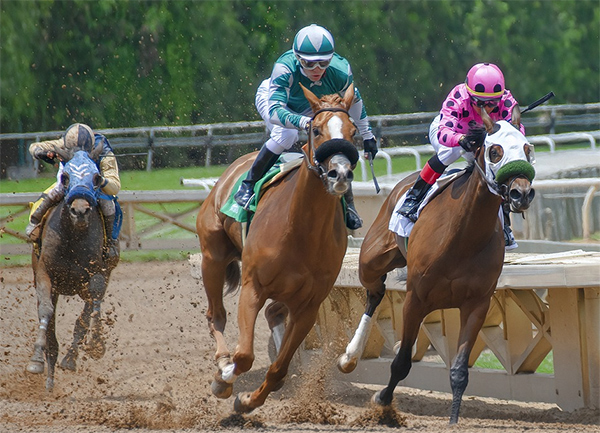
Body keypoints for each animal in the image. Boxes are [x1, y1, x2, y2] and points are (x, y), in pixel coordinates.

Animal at [26, 141, 118, 388]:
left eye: (96, 177)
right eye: (65, 177)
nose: (80, 210)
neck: (72, 239)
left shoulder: (97, 274)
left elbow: (90, 309)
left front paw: (94, 344)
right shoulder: (44, 273)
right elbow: (46, 311)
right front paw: (36, 360)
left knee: (87, 312)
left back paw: (74, 355)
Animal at [195, 82, 358, 412]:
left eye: (353, 131)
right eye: (316, 130)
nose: (340, 174)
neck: (301, 230)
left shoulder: (309, 304)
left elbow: (279, 367)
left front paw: (248, 401)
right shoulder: (253, 287)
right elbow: (244, 355)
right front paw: (226, 378)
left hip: (286, 291)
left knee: (273, 314)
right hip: (212, 257)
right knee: (216, 314)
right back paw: (222, 365)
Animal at [338, 115, 540, 422]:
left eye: (528, 149)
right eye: (495, 151)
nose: (522, 193)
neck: (463, 236)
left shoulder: (476, 304)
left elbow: (459, 371)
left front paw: (454, 420)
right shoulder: (416, 299)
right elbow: (401, 363)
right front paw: (382, 401)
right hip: (371, 261)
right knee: (374, 294)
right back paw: (349, 356)